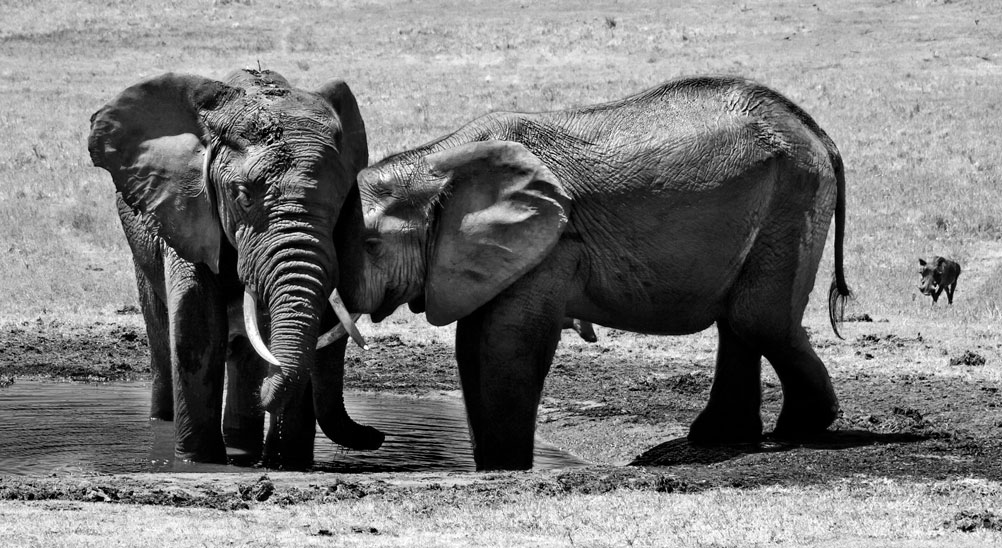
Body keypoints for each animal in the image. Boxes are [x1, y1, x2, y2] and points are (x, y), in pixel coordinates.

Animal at [88, 68, 383, 467]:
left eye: (341, 198)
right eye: (242, 195)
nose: (377, 435)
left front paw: (287, 464)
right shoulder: (186, 207)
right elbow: (197, 324)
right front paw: (197, 461)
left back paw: (243, 446)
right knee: (162, 333)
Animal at [334, 76, 852, 470]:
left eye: (371, 245)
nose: (375, 437)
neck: (437, 165)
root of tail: (817, 131)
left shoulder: (552, 244)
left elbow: (503, 343)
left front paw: (506, 469)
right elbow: (475, 344)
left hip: (793, 197)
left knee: (756, 319)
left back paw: (803, 428)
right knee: (739, 322)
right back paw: (721, 437)